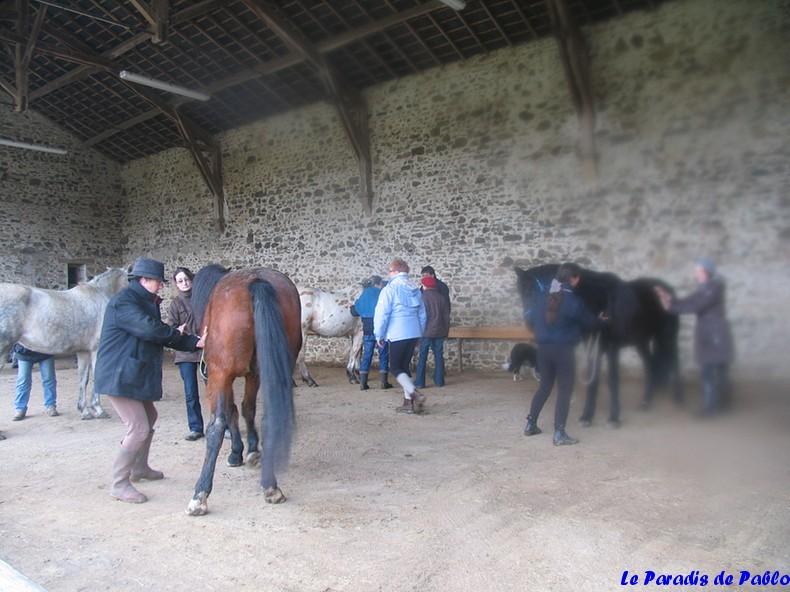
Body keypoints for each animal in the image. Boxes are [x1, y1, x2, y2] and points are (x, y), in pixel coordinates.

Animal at [0, 268, 128, 420]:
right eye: (130, 279)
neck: (99, 295)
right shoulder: (96, 349)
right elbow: (96, 378)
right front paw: (98, 409)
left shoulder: (84, 351)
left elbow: (83, 379)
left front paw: (84, 410)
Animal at [186, 266, 304, 516]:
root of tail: (255, 281)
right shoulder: (254, 375)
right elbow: (247, 409)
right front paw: (252, 449)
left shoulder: (219, 378)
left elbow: (231, 412)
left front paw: (236, 452)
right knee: (268, 418)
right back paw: (270, 485)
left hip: (220, 375)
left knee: (217, 425)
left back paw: (200, 495)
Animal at [516, 264, 684, 426]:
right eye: (521, 293)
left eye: (532, 291)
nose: (530, 323)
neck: (597, 298)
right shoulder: (592, 347)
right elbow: (593, 380)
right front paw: (587, 416)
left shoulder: (612, 347)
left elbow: (612, 379)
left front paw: (614, 418)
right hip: (641, 341)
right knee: (651, 365)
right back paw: (646, 402)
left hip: (668, 336)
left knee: (674, 361)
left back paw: (677, 399)